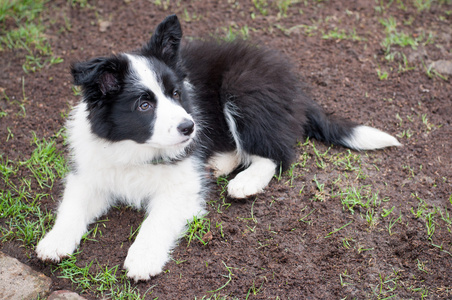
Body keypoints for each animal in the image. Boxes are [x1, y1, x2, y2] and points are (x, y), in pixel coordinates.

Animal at [37, 14, 400, 282]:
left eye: (177, 94)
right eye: (144, 105)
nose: (190, 127)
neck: (135, 149)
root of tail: (294, 89)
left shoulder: (182, 186)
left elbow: (156, 220)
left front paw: (143, 258)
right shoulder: (91, 171)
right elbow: (72, 206)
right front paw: (54, 242)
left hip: (244, 89)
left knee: (276, 153)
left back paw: (245, 182)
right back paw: (219, 164)